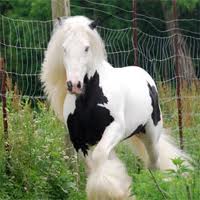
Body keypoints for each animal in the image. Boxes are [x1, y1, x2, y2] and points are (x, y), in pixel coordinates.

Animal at [40, 16, 189, 200]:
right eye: (64, 48)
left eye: (86, 48)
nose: (74, 85)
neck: (88, 101)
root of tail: (145, 76)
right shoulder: (79, 140)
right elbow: (95, 164)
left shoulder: (115, 128)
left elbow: (100, 157)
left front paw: (117, 191)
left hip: (151, 135)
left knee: (153, 162)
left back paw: (157, 190)